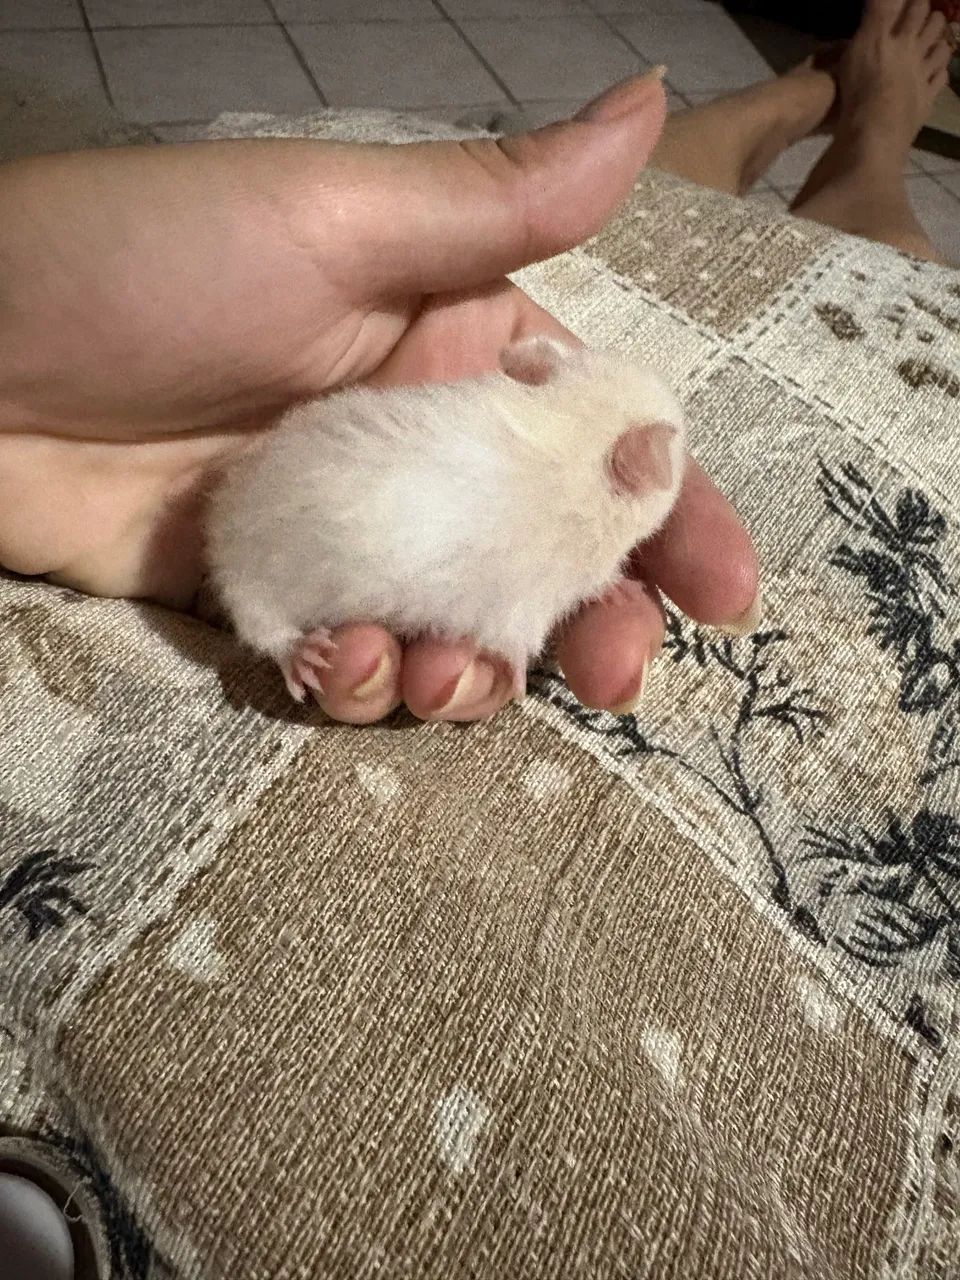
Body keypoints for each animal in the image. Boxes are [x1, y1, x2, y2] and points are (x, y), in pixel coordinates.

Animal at [205, 336, 686, 702]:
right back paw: (304, 656)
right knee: (262, 628)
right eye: (681, 447)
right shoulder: (524, 605)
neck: (575, 434)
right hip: (258, 585)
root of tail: (220, 526)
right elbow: (517, 645)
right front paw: (517, 692)